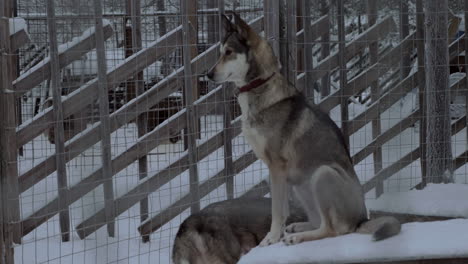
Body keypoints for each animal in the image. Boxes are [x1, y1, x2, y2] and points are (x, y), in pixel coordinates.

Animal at [207, 12, 400, 248]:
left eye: (229, 52)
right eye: (219, 53)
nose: (208, 75)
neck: (259, 87)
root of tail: (361, 219)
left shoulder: (277, 167)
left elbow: (277, 210)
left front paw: (270, 238)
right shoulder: (277, 173)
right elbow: (282, 209)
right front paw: (277, 234)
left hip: (322, 174)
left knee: (333, 230)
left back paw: (298, 237)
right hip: (301, 184)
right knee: (319, 221)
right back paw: (298, 228)